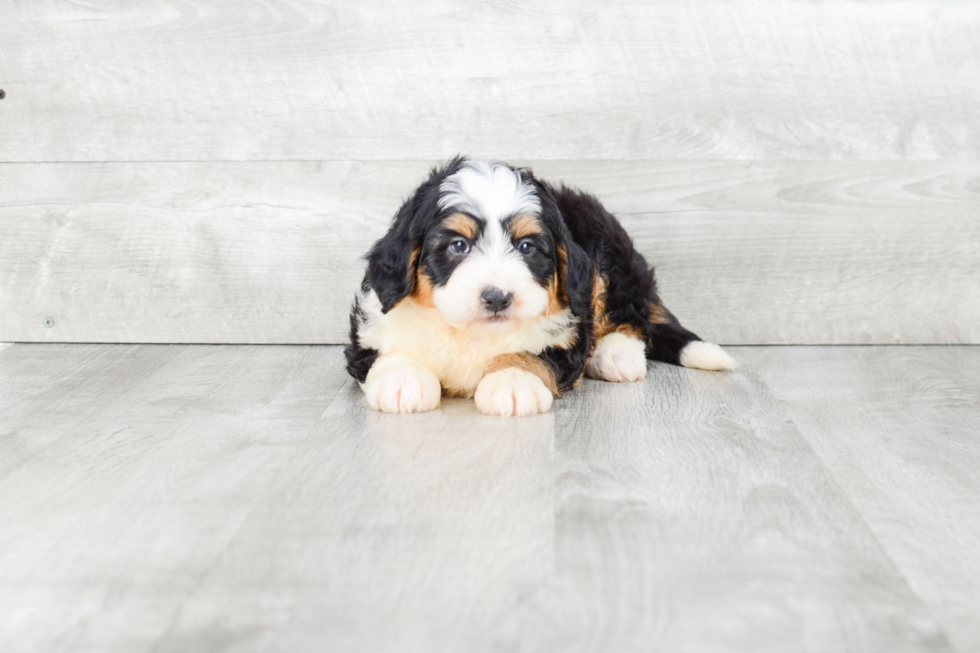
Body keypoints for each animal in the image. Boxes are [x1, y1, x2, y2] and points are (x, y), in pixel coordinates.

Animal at [344, 155, 736, 416]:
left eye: (526, 247)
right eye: (458, 246)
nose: (497, 297)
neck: (471, 334)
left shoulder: (567, 334)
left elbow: (531, 353)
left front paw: (513, 380)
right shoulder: (371, 326)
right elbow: (386, 350)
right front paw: (402, 379)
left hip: (609, 257)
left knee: (629, 316)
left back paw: (616, 355)